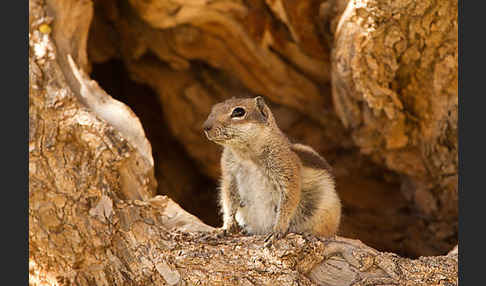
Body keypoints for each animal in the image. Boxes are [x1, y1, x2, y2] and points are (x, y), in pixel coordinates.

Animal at [202, 96, 342, 244]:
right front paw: (224, 228)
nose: (205, 127)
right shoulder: (229, 175)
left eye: (239, 112)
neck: (246, 154)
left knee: (328, 232)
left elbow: (288, 200)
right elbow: (228, 201)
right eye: (214, 109)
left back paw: (314, 235)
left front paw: (277, 231)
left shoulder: (286, 169)